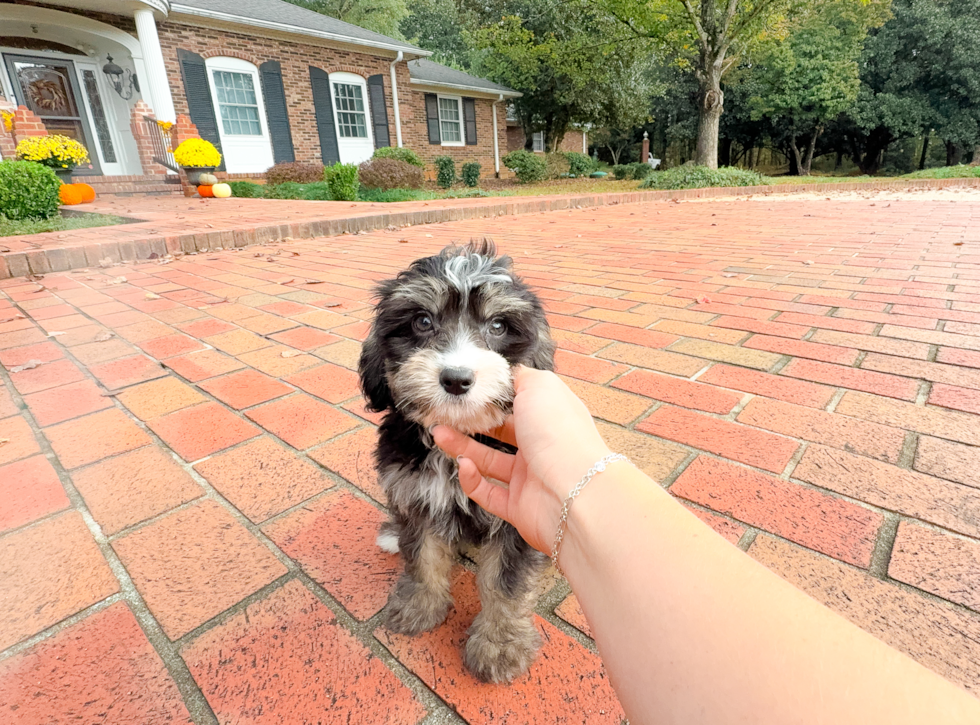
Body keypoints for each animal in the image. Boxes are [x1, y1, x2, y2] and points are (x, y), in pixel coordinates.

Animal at [358, 240, 560, 680]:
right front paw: (419, 606)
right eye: (422, 321)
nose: (455, 379)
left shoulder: (514, 514)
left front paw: (500, 645)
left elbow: (505, 581)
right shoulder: (414, 495)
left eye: (498, 326)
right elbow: (422, 555)